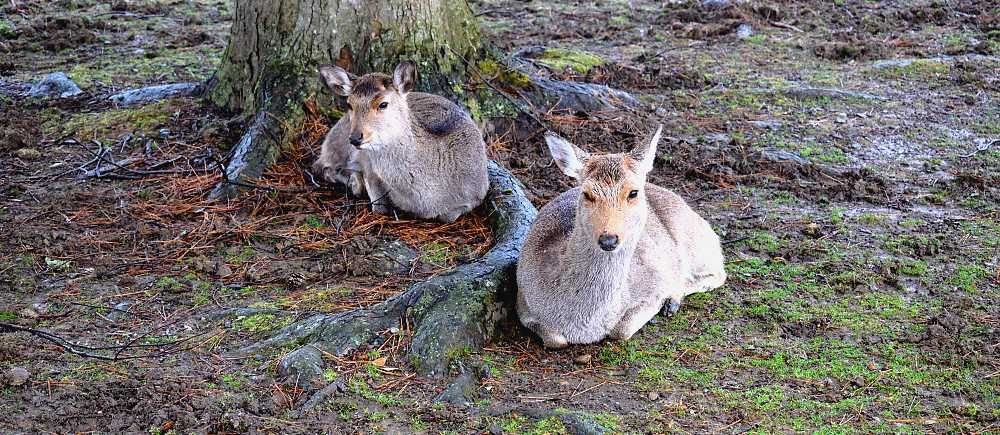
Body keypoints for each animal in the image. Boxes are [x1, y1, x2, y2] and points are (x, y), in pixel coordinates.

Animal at [308, 61, 488, 223]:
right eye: (349, 104)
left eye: (383, 104)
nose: (355, 137)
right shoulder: (368, 163)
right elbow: (378, 204)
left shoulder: (478, 194)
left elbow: (448, 217)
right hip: (338, 142)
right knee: (320, 166)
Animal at [516, 125, 728, 348]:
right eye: (587, 194)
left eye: (633, 192)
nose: (608, 239)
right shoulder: (522, 304)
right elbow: (556, 340)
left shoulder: (655, 282)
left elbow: (621, 330)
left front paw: (663, 303)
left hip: (697, 242)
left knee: (718, 273)